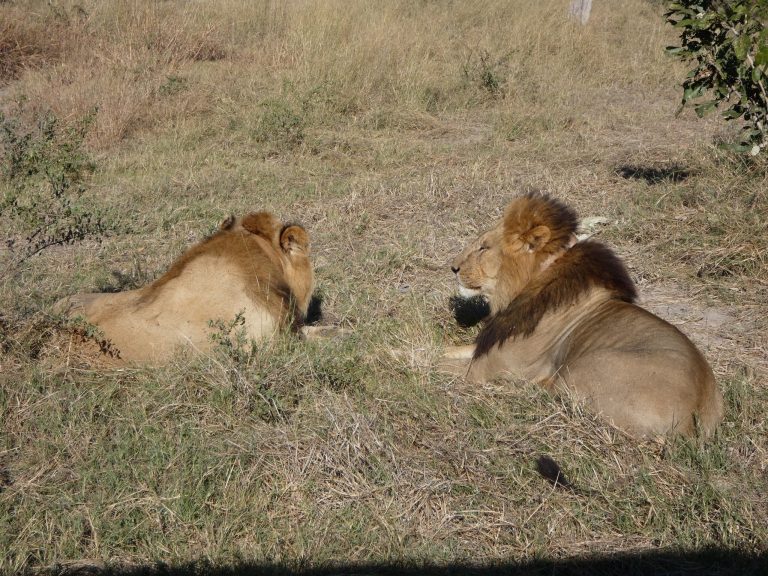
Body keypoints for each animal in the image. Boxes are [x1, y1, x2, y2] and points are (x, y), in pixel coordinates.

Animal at [441, 192, 724, 438]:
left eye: (483, 248)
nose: (453, 267)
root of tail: (692, 425)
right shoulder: (485, 349)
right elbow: (444, 351)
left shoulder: (489, 368)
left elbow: (441, 366)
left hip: (583, 367)